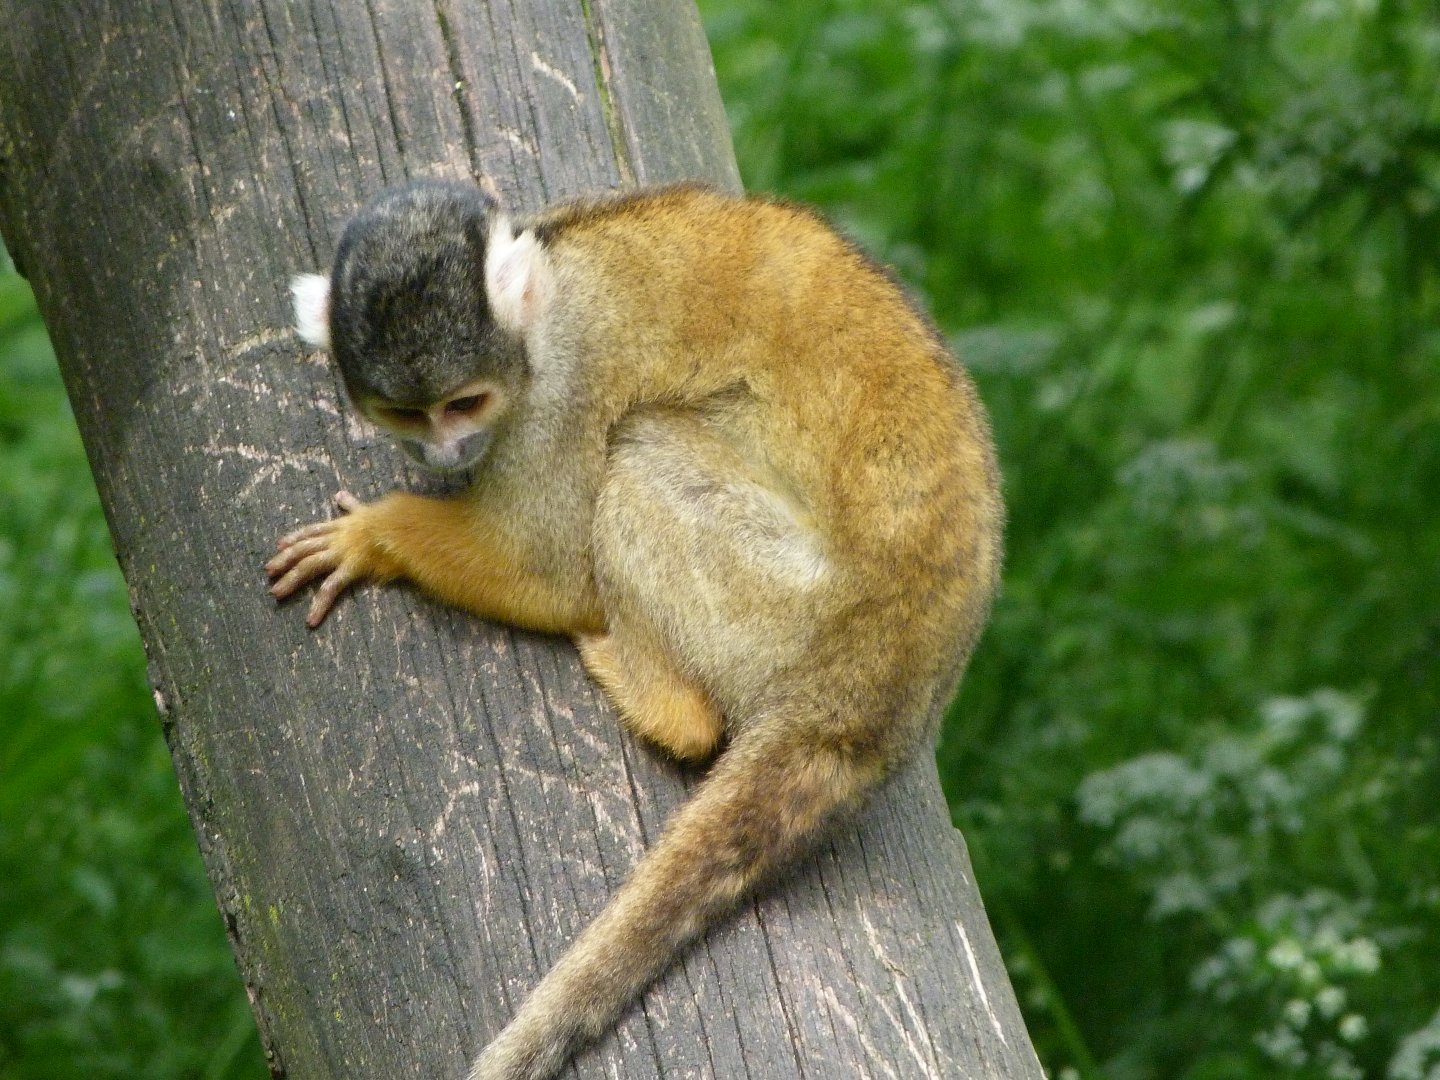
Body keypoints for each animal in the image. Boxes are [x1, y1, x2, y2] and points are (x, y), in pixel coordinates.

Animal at [267, 179, 1004, 1080]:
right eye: (406, 415)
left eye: (466, 402)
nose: (450, 452)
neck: (546, 287)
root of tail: (875, 686)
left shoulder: (565, 379)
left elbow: (547, 564)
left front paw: (375, 536)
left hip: (779, 611)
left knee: (640, 444)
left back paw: (661, 702)